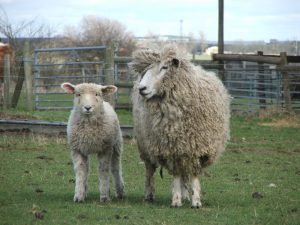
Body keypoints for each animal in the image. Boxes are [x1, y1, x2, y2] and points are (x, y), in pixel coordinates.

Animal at [130, 44, 231, 208]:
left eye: (165, 67)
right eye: (145, 71)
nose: (142, 88)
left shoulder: (198, 147)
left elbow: (194, 174)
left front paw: (195, 200)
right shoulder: (171, 148)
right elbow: (176, 173)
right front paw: (176, 200)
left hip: (185, 146)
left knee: (185, 171)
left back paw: (185, 195)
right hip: (145, 143)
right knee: (150, 169)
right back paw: (149, 194)